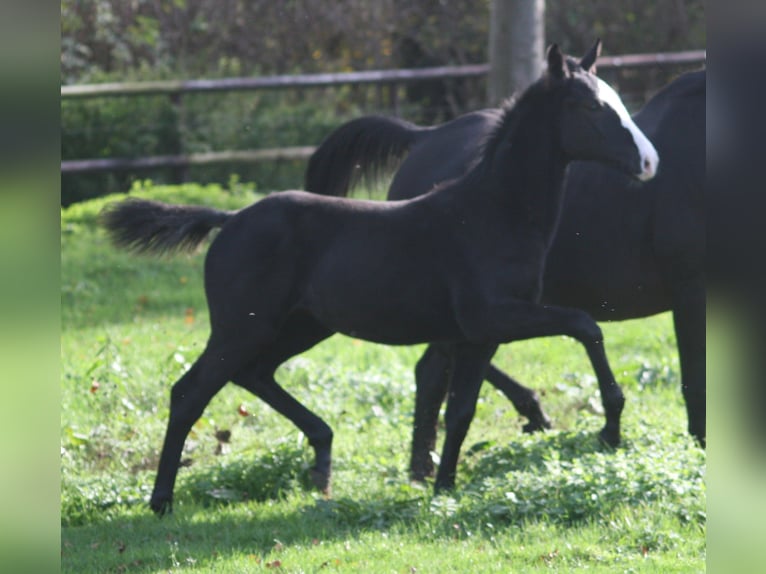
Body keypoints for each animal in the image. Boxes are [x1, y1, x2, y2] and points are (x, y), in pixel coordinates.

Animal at [100, 42, 656, 516]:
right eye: (590, 107)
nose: (650, 162)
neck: (493, 212)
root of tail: (230, 218)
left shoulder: (480, 335)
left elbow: (461, 411)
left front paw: (445, 487)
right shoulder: (496, 317)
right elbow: (586, 325)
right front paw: (611, 425)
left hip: (301, 326)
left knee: (256, 374)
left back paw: (322, 460)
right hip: (243, 327)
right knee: (190, 392)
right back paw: (161, 501)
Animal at [308, 67, 708, 482]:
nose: (648, 162)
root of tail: (426, 137)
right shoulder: (691, 291)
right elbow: (695, 380)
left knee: (434, 367)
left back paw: (430, 462)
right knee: (436, 368)